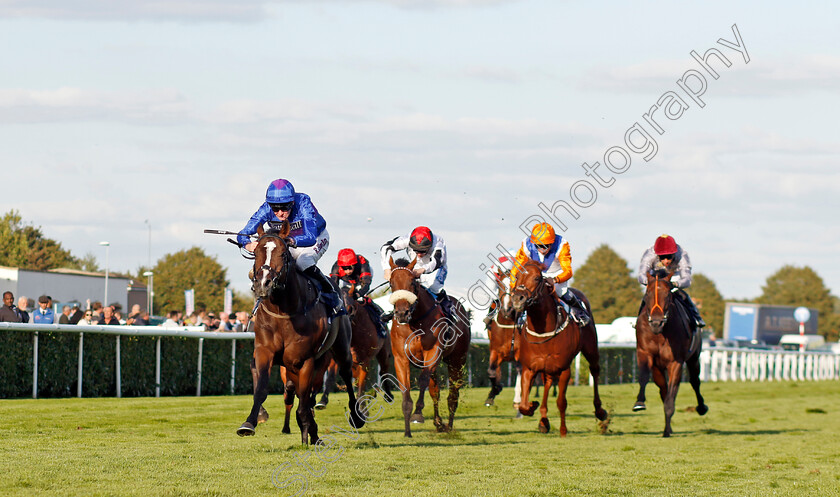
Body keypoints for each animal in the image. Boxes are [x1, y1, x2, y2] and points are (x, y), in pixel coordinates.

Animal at [238, 223, 366, 444]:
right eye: (256, 252)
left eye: (283, 253)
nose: (263, 284)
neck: (283, 311)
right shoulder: (265, 352)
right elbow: (262, 387)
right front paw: (250, 422)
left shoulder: (304, 359)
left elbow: (305, 399)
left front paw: (310, 430)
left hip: (341, 349)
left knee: (345, 374)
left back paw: (355, 417)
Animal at [388, 258, 472, 436]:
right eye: (391, 283)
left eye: (412, 282)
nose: (402, 313)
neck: (415, 321)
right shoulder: (400, 357)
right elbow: (406, 388)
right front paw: (407, 430)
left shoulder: (433, 352)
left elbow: (422, 380)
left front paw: (418, 414)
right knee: (435, 391)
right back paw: (438, 423)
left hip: (457, 360)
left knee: (453, 393)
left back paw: (449, 426)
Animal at [508, 260, 608, 434]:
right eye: (517, 276)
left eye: (536, 278)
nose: (517, 299)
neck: (542, 331)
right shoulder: (530, 368)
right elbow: (523, 405)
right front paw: (533, 407)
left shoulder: (564, 369)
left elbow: (561, 402)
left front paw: (563, 431)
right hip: (548, 367)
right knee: (547, 382)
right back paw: (543, 421)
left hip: (591, 348)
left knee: (595, 371)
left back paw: (600, 411)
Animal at [636, 270, 708, 436]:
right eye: (647, 294)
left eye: (668, 295)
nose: (656, 322)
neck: (660, 334)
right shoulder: (646, 355)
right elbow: (644, 377)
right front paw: (639, 402)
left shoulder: (676, 362)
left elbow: (672, 392)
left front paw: (667, 431)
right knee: (664, 389)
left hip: (694, 358)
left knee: (695, 381)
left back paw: (701, 408)